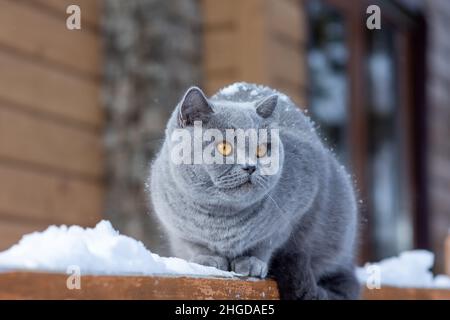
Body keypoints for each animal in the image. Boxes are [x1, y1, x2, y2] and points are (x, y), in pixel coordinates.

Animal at [149, 82, 360, 300]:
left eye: (261, 150)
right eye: (224, 147)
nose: (250, 167)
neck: (221, 219)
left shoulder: (297, 212)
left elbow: (266, 243)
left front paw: (251, 262)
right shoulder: (177, 228)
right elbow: (194, 245)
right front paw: (207, 259)